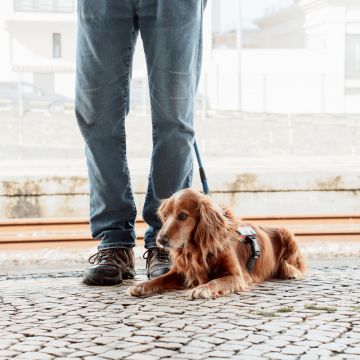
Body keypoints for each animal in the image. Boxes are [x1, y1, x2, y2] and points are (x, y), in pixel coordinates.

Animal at [128, 187, 306, 300]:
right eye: (166, 214)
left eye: (183, 216)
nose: (160, 240)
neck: (198, 250)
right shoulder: (181, 271)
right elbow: (160, 279)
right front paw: (141, 286)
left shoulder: (237, 276)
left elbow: (215, 281)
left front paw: (202, 289)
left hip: (286, 232)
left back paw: (290, 271)